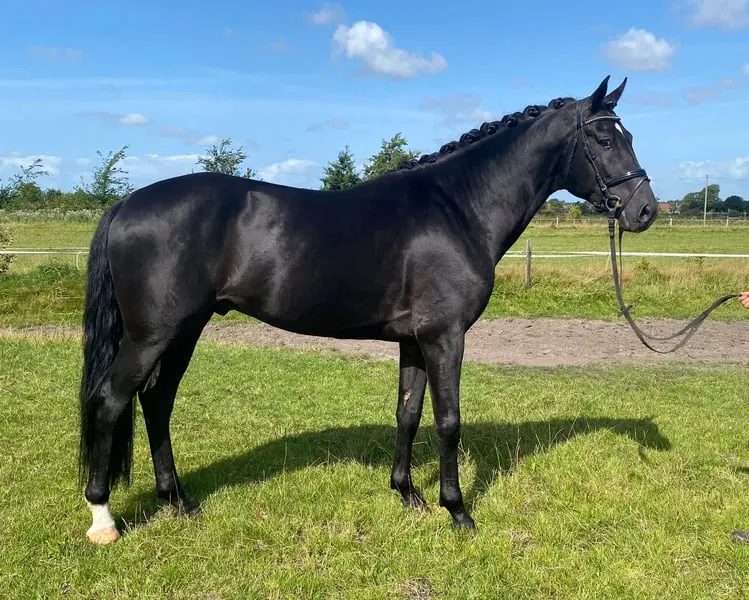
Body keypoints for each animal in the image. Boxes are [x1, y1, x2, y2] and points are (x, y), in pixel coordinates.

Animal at [78, 75, 658, 545]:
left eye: (629, 136)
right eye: (605, 139)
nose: (645, 210)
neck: (459, 208)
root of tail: (126, 204)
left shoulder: (414, 341)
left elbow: (408, 413)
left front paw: (408, 495)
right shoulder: (445, 336)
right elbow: (448, 420)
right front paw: (458, 513)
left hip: (185, 330)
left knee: (156, 402)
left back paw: (177, 501)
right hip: (154, 334)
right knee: (111, 401)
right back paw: (103, 519)